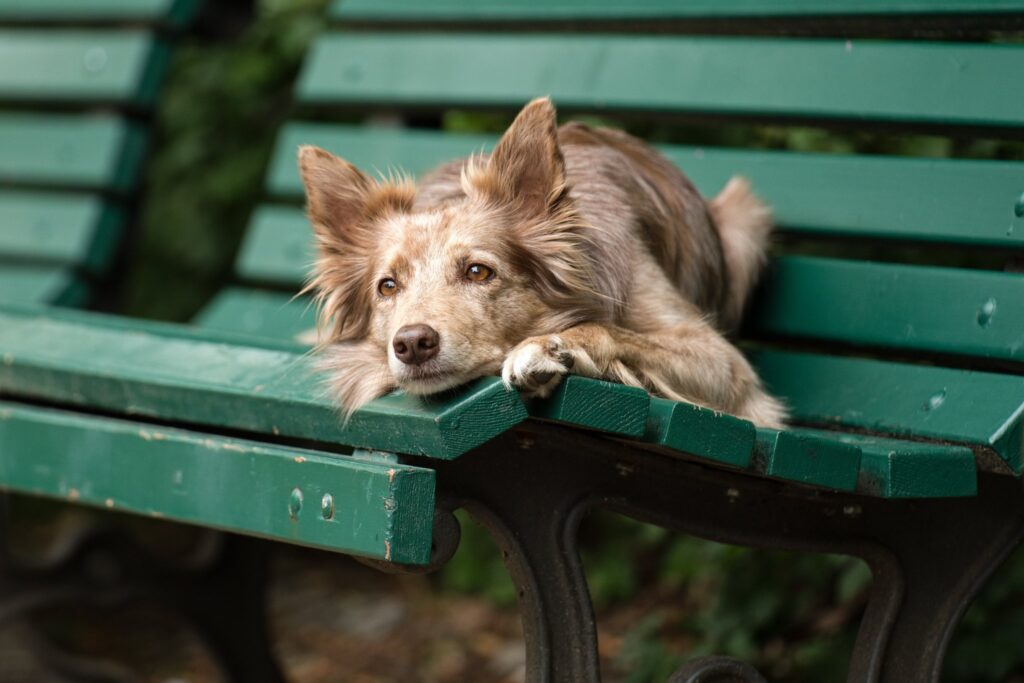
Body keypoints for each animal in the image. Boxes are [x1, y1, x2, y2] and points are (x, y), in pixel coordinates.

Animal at [296, 96, 782, 428]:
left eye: (479, 271)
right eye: (387, 286)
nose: (413, 343)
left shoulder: (725, 364)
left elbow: (610, 330)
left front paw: (548, 347)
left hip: (745, 217)